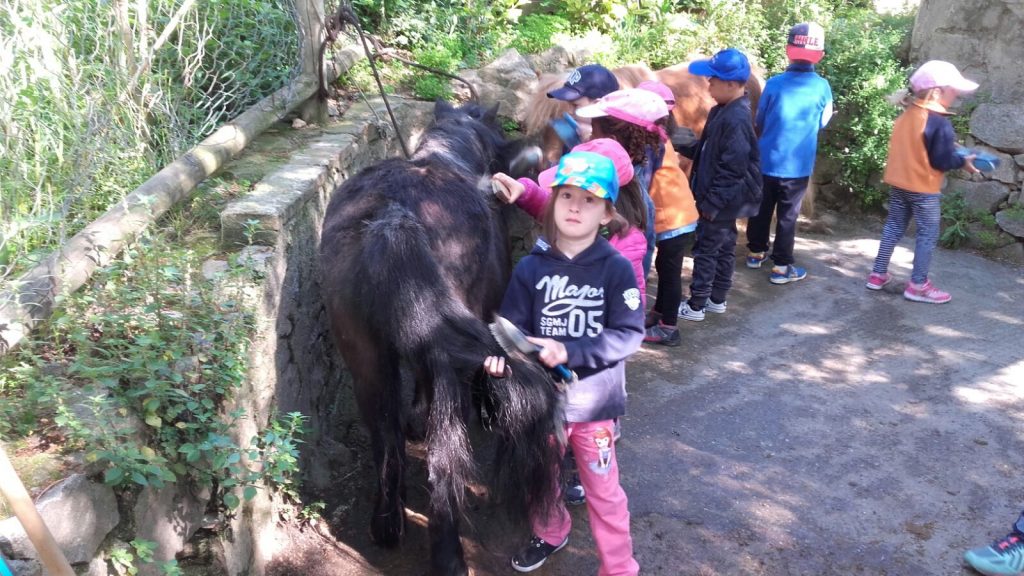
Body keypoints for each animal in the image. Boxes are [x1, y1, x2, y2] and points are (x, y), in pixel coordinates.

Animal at [319, 100, 563, 576]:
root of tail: (394, 218)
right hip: (439, 364)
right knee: (443, 456)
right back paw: (449, 556)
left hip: (365, 357)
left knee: (385, 435)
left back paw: (387, 525)